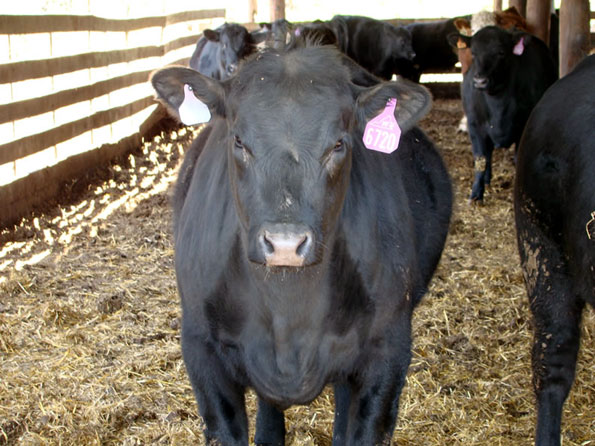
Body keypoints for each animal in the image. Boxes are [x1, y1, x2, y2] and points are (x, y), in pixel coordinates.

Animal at [151, 43, 454, 444]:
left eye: (339, 144)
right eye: (238, 140)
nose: (284, 243)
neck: (288, 314)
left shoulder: (388, 351)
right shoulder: (201, 350)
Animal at [460, 25, 560, 203]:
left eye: (501, 52)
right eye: (473, 53)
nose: (480, 81)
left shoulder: (525, 127)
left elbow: (519, 158)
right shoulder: (475, 124)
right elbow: (480, 158)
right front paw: (476, 193)